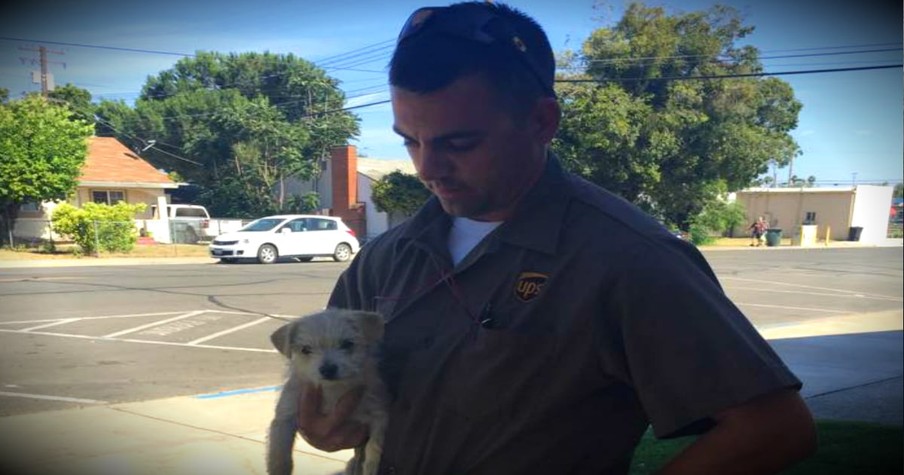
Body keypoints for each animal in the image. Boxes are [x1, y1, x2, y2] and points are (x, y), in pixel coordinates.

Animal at [264, 308, 384, 475]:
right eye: (306, 349)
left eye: (347, 344)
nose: (328, 369)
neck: (332, 390)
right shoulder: (285, 415)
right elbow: (279, 451)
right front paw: (279, 468)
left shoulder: (378, 414)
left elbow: (375, 444)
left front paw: (371, 467)